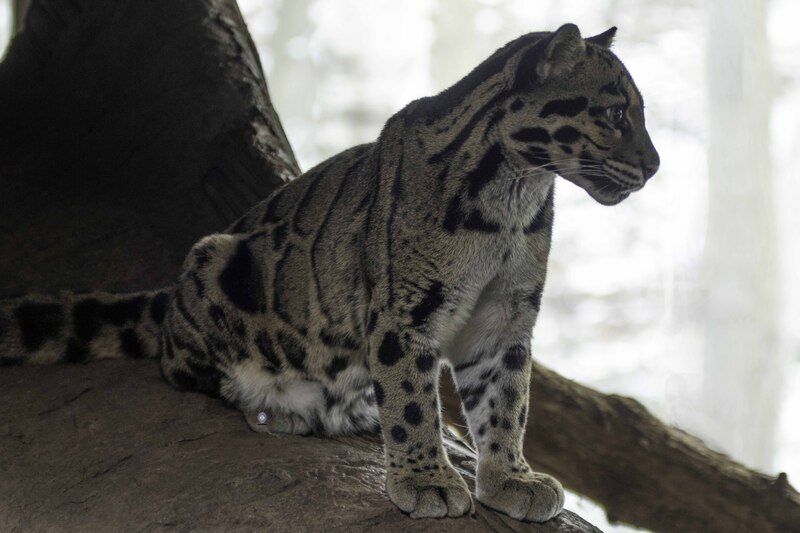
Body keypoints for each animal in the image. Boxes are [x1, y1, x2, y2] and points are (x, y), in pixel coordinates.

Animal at [0, 24, 659, 521]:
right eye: (614, 113)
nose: (655, 165)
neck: (514, 198)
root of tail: (168, 297)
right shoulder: (404, 313)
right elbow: (414, 400)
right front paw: (427, 479)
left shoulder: (506, 317)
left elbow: (506, 402)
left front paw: (509, 477)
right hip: (216, 259)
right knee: (180, 367)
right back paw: (282, 406)